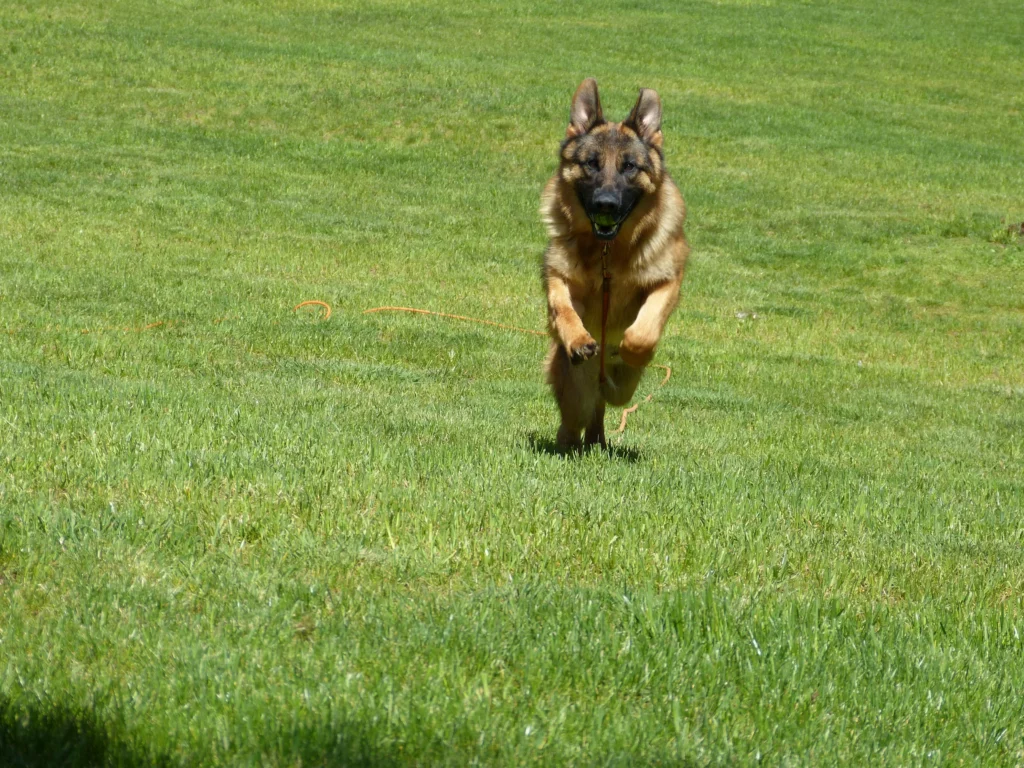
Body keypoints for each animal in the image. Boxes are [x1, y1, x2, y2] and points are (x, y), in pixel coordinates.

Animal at [540, 78, 692, 450]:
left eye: (629, 167)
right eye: (591, 163)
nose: (605, 204)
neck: (609, 253)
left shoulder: (668, 281)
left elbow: (643, 331)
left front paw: (631, 351)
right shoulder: (557, 275)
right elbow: (563, 309)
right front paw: (578, 340)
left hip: (620, 390)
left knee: (610, 399)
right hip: (576, 391)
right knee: (575, 419)